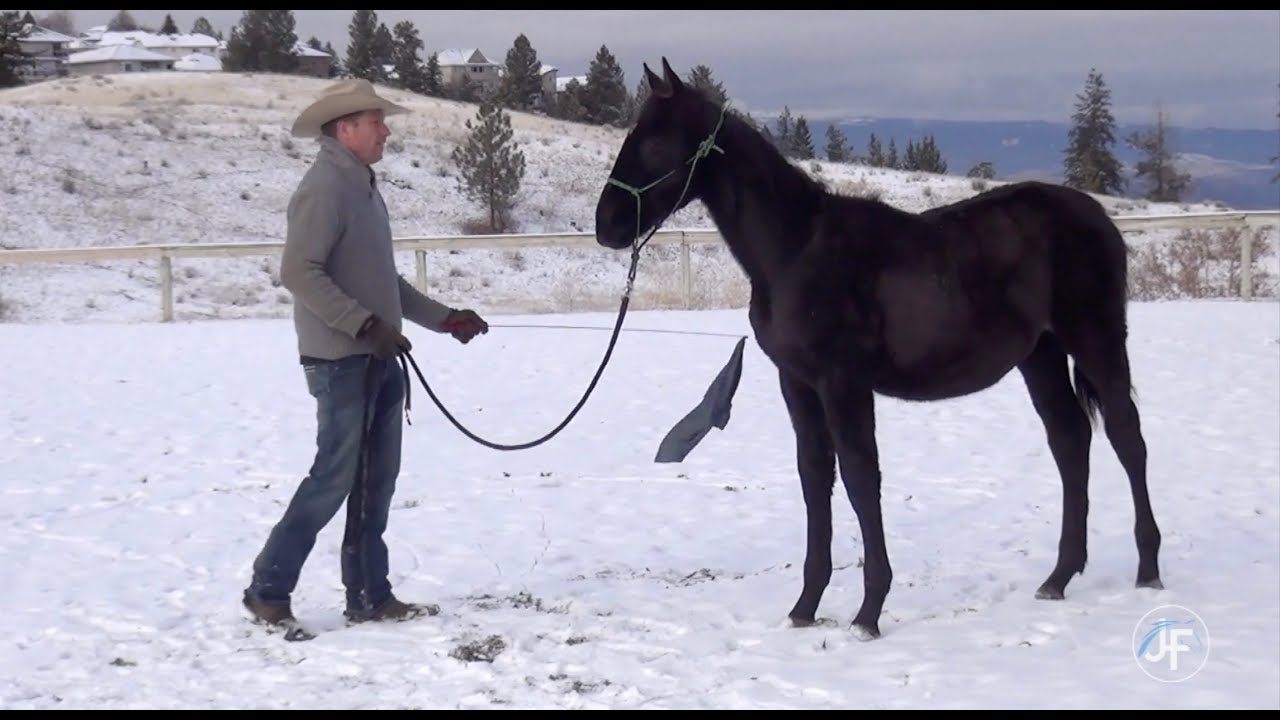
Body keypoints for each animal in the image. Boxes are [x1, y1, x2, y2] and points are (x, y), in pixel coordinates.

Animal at [593, 58, 1163, 640]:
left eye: (656, 141)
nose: (606, 225)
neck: (795, 252)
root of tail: (1095, 215)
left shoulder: (843, 381)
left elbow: (860, 476)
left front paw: (868, 612)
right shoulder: (797, 383)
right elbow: (814, 475)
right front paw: (805, 606)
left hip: (1095, 337)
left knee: (1126, 435)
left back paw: (1147, 568)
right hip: (1040, 355)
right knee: (1070, 441)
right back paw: (1060, 575)